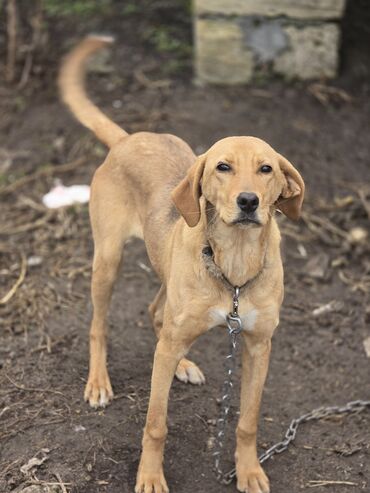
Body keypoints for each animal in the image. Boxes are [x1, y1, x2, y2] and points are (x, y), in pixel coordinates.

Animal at [59, 35, 304, 492]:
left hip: (167, 276)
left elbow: (247, 421)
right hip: (108, 260)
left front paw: (249, 470)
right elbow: (156, 425)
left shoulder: (258, 345)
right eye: (223, 167)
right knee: (101, 325)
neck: (235, 270)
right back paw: (99, 382)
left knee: (157, 314)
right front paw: (150, 476)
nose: (249, 201)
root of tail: (129, 138)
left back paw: (183, 365)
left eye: (266, 169)